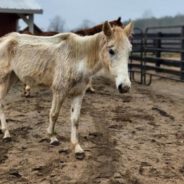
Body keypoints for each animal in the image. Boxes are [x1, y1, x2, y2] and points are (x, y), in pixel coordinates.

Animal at [0, 21, 133, 159]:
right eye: (111, 51)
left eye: (129, 51)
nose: (125, 87)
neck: (77, 59)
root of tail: (4, 40)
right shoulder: (59, 91)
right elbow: (54, 114)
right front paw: (52, 137)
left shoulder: (78, 93)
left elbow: (75, 119)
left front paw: (77, 147)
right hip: (4, 79)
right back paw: (6, 133)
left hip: (11, 78)